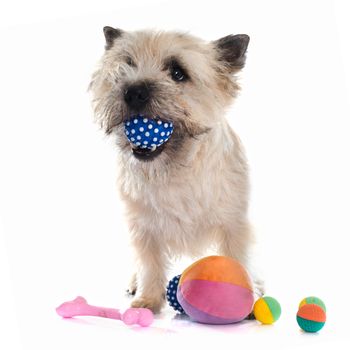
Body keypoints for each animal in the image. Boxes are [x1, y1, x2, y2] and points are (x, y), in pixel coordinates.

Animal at [89, 27, 262, 312]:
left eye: (178, 72)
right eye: (125, 66)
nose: (133, 91)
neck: (176, 170)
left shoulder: (233, 224)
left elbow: (238, 258)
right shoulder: (143, 229)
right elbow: (149, 264)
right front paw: (147, 300)